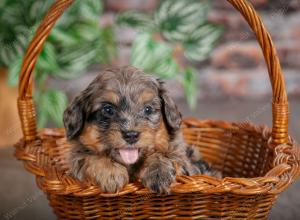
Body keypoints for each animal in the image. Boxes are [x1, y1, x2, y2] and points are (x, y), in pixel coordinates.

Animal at [63, 66, 218, 193]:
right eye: (108, 109)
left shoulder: (181, 158)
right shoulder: (77, 156)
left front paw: (158, 172)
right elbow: (90, 157)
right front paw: (111, 173)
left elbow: (163, 155)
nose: (131, 135)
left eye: (148, 109)